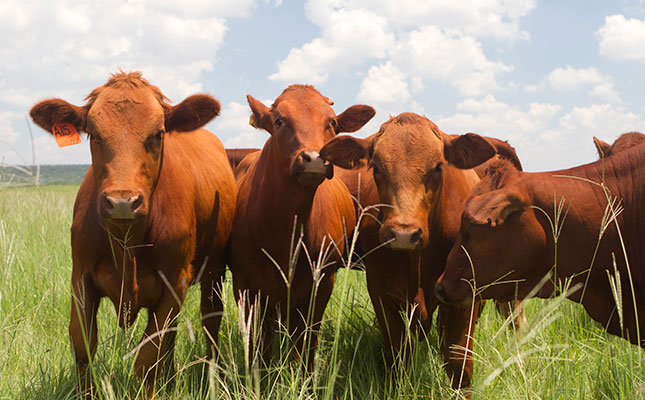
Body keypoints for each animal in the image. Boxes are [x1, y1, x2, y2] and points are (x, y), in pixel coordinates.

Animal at [29, 71, 236, 394]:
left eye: (159, 134)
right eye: (93, 134)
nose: (122, 202)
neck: (126, 241)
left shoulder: (175, 281)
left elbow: (148, 356)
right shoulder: (81, 276)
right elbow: (83, 345)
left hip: (213, 271)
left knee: (210, 319)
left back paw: (211, 375)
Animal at [229, 86, 374, 370]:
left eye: (332, 122)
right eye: (279, 121)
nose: (315, 159)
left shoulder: (323, 282)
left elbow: (307, 339)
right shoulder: (245, 285)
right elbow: (257, 346)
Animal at [322, 113, 508, 390]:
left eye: (439, 167)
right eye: (376, 168)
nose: (403, 233)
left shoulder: (465, 293)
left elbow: (458, 362)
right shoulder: (380, 290)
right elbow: (397, 354)